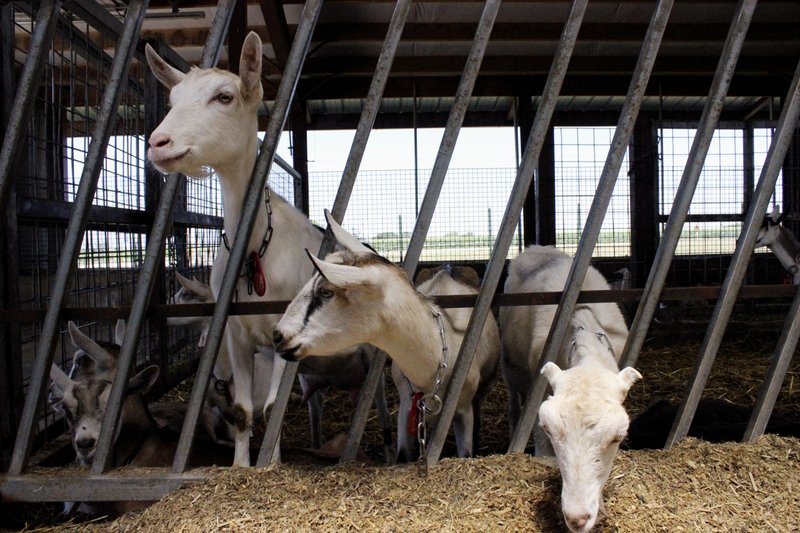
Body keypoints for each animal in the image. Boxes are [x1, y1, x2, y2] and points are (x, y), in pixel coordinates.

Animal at [276, 212, 500, 462]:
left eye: (325, 291)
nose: (279, 336)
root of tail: (448, 265)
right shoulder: (406, 409)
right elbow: (403, 454)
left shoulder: (463, 411)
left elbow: (466, 452)